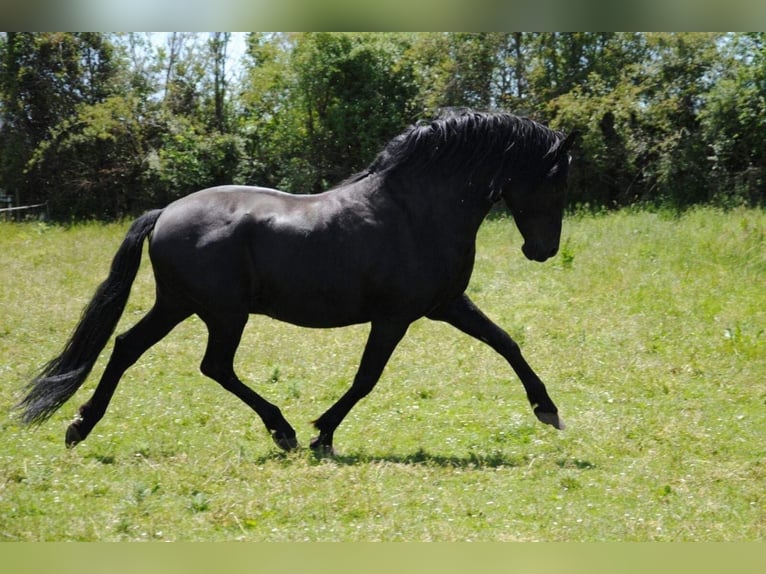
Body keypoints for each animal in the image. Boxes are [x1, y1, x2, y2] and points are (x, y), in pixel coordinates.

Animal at [18, 111, 580, 454]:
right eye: (556, 181)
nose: (543, 250)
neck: (417, 210)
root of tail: (166, 212)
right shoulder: (396, 316)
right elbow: (367, 377)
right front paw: (322, 434)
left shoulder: (447, 303)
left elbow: (506, 343)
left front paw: (547, 409)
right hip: (223, 312)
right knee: (214, 365)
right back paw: (282, 430)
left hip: (178, 304)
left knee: (127, 346)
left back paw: (80, 425)